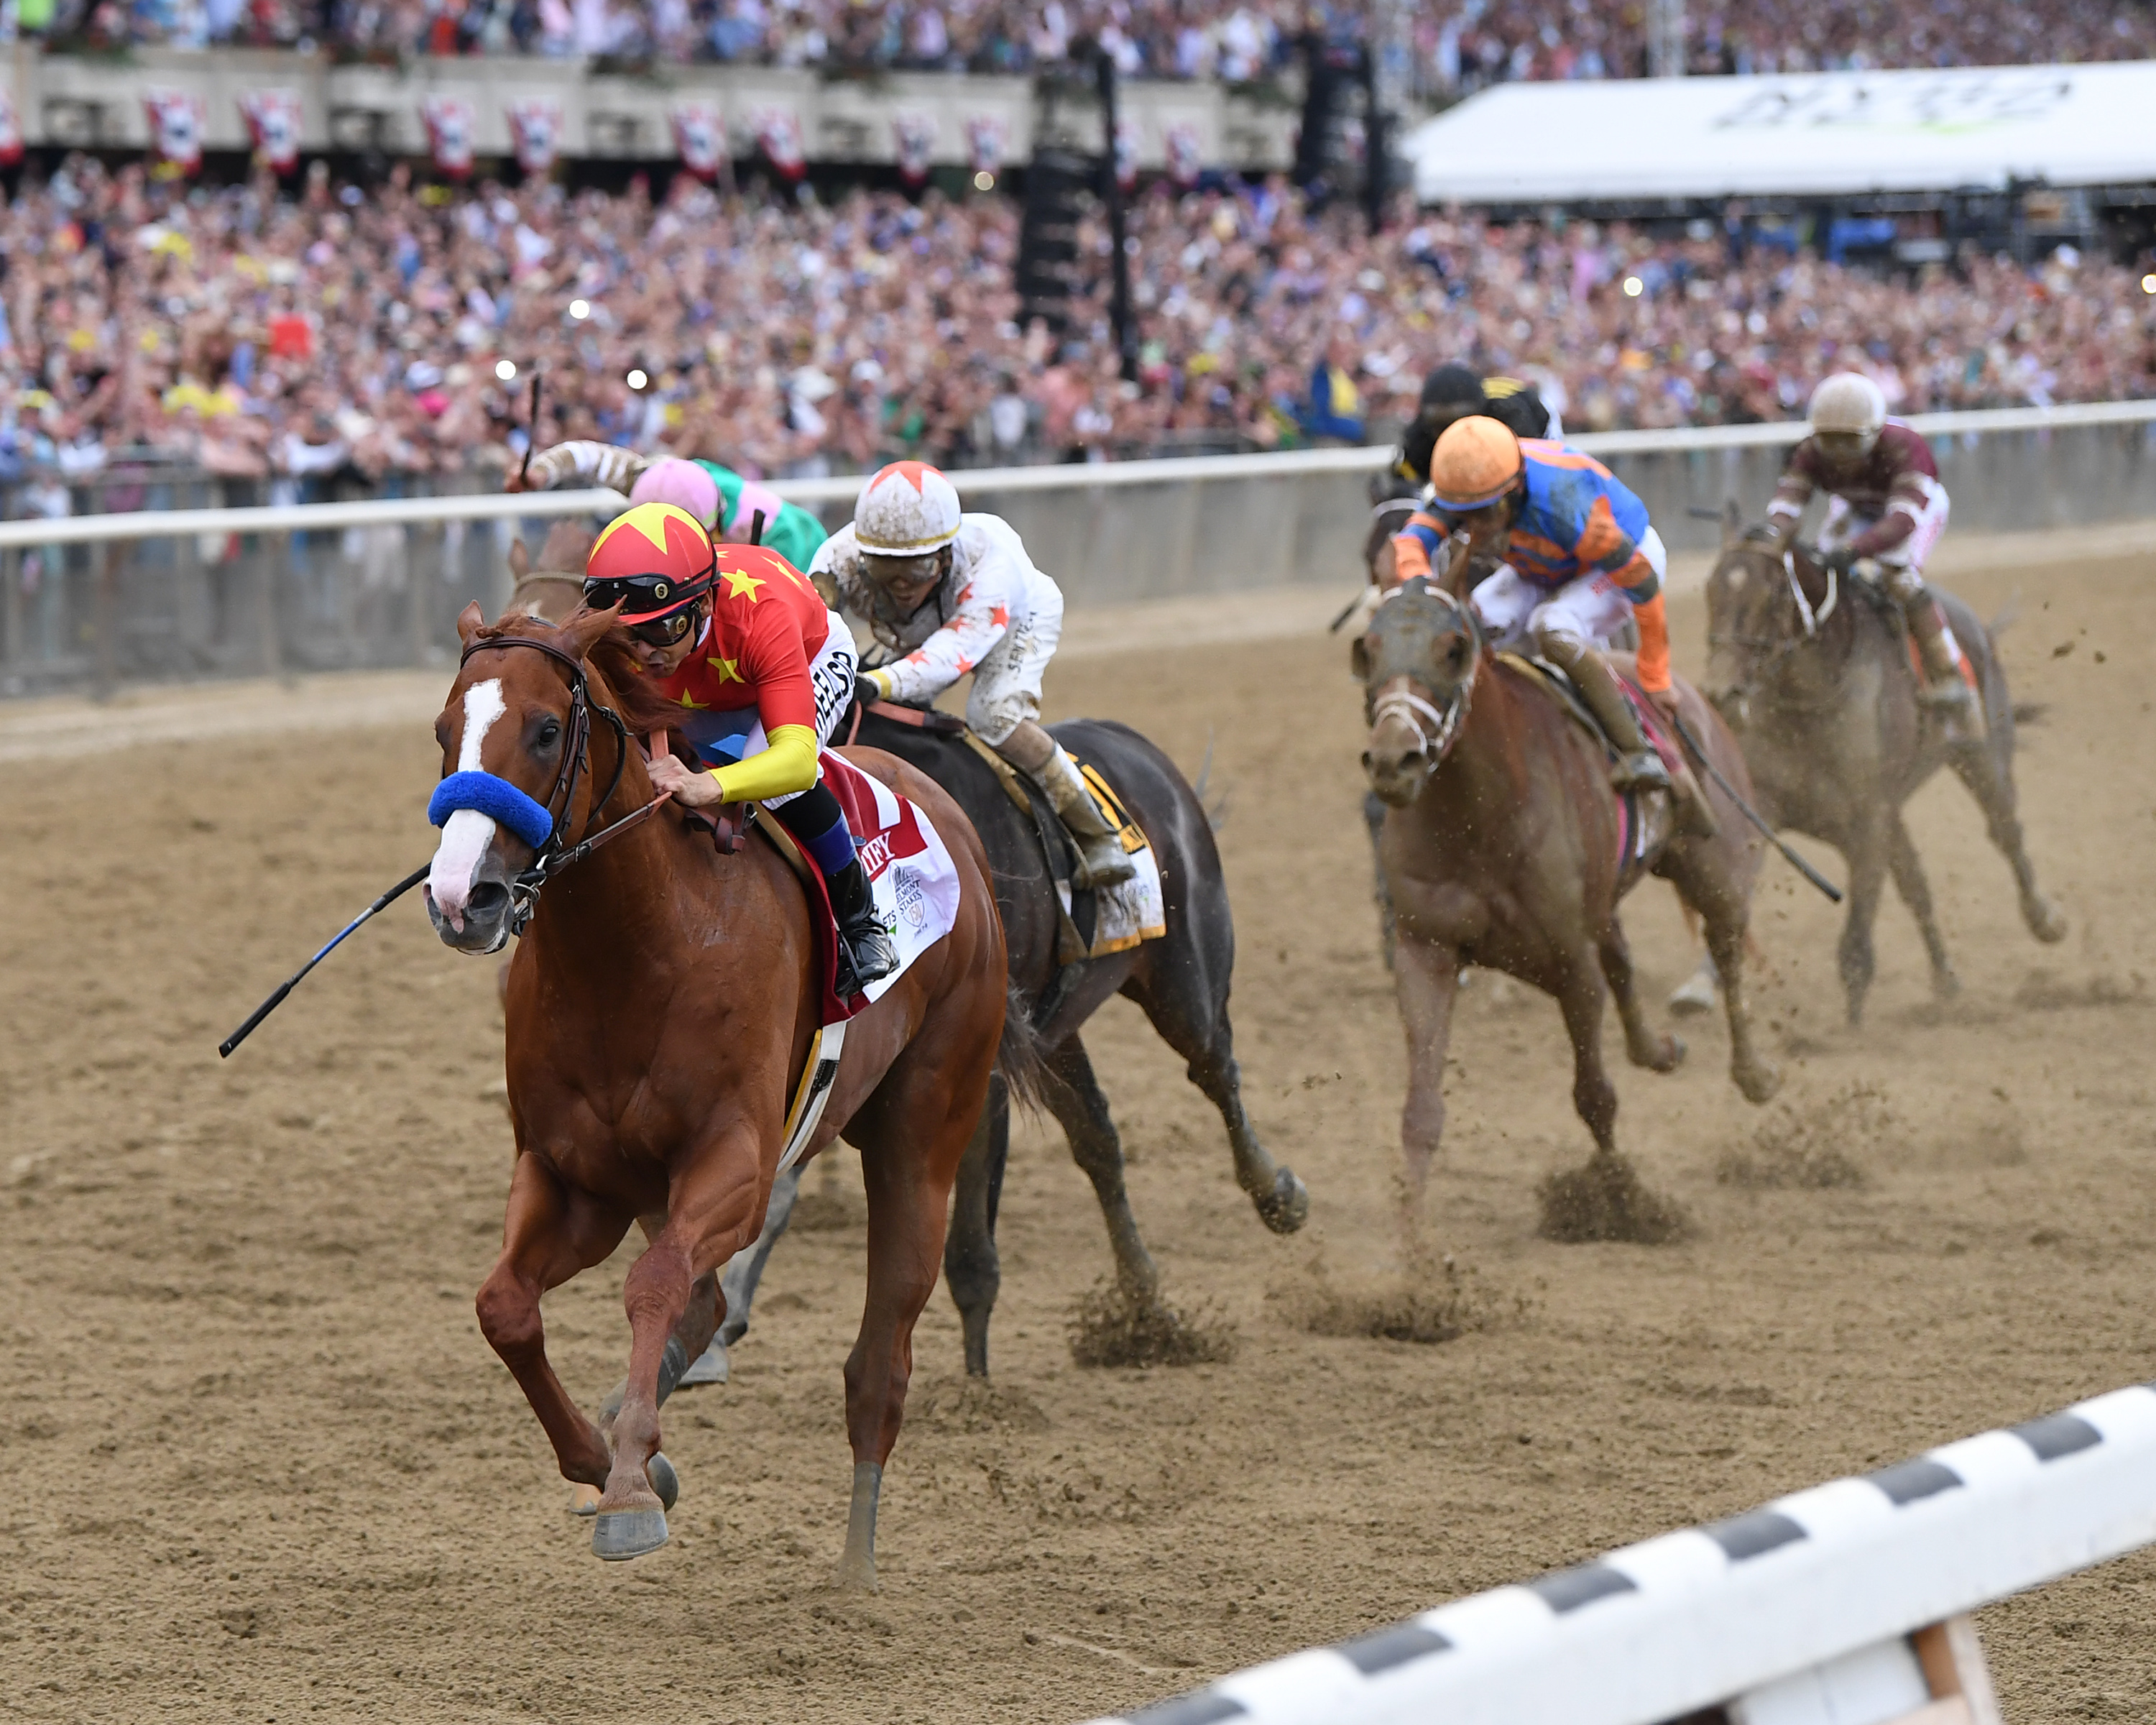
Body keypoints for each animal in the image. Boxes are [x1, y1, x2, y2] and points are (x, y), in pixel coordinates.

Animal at [436, 599, 1018, 1587]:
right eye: (445, 733)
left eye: (547, 730)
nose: (458, 896)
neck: (640, 944)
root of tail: (954, 822)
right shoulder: (574, 1177)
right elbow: (505, 1306)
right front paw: (608, 1460)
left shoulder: (735, 1164)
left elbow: (655, 1283)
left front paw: (631, 1490)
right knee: (705, 1306)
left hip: (926, 1123)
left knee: (880, 1361)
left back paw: (856, 1570)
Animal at [724, 699, 1302, 1371]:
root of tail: (1144, 752)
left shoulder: (975, 1061)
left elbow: (970, 1240)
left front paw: (974, 1382)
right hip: (1057, 1032)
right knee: (1097, 1138)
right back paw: (1144, 1308)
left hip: (1185, 979)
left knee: (1215, 1070)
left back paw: (1279, 1197)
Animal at [1354, 578, 1777, 1216]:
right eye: (1367, 649)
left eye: (1453, 650)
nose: (1392, 760)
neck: (1481, 813)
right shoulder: (1425, 949)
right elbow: (1421, 1114)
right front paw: (1412, 1236)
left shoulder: (1572, 963)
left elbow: (1594, 1095)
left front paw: (1621, 1200)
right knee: (1624, 955)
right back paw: (1659, 1048)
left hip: (1714, 867)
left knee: (1726, 952)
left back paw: (1753, 1073)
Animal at [1690, 505, 2061, 1031]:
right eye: (1712, 590)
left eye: (1772, 594)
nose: (1721, 692)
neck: (1809, 699)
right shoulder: (1767, 807)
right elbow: (1732, 902)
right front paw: (1699, 986)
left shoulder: (1869, 818)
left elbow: (1857, 938)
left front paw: (1851, 1030)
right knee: (1917, 885)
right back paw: (1946, 981)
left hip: (1982, 754)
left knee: (2006, 831)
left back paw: (2044, 919)